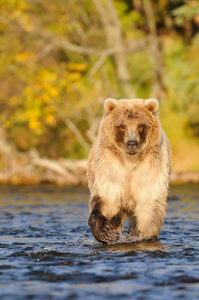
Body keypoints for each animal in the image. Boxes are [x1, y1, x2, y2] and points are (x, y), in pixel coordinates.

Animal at [86, 98, 170, 244]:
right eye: (122, 125)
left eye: (140, 125)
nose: (132, 143)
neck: (130, 161)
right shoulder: (111, 166)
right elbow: (106, 198)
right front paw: (107, 233)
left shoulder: (150, 167)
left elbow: (149, 202)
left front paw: (147, 236)